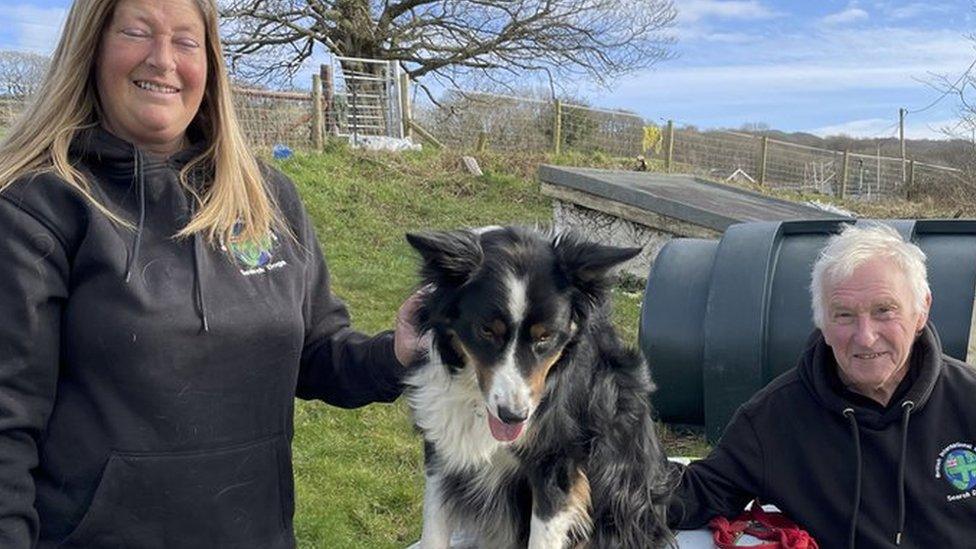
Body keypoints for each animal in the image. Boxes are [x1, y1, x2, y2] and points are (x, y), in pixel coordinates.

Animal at [404, 225, 680, 544]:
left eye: (545, 336)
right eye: (486, 330)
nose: (513, 416)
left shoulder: (557, 470)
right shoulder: (442, 448)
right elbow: (433, 531)